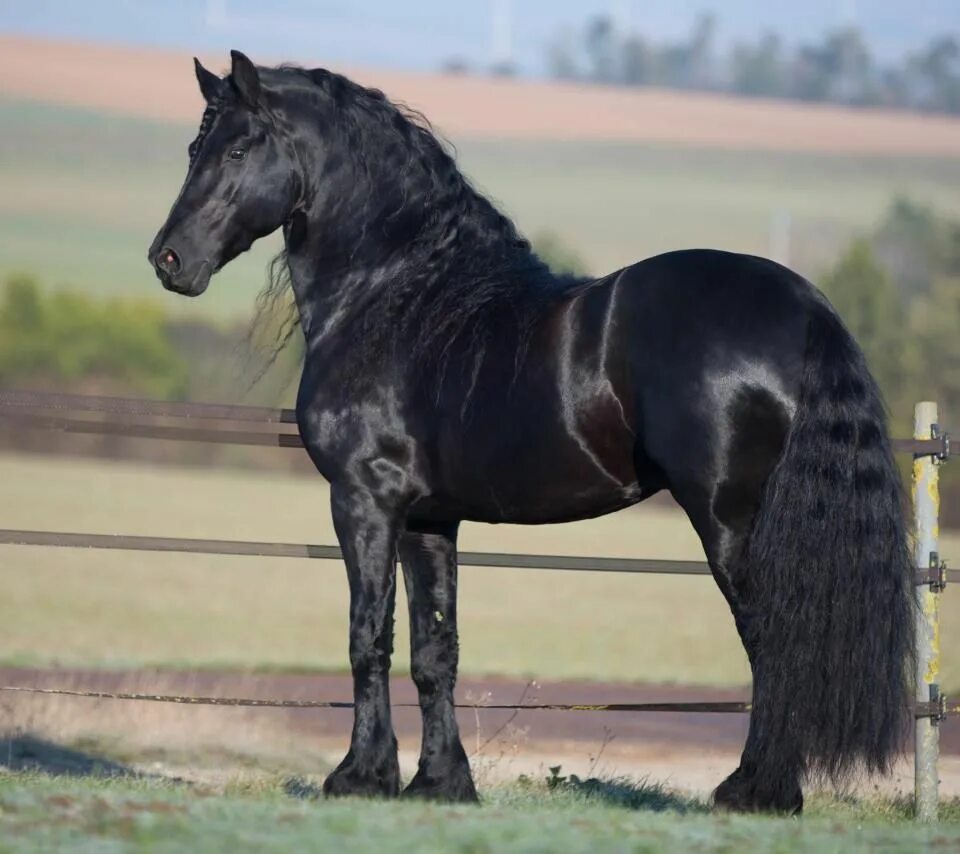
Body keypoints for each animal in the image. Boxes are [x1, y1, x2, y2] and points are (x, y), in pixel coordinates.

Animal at [150, 53, 916, 816]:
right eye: (193, 149)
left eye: (239, 149)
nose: (168, 260)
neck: (399, 294)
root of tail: (805, 307)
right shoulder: (429, 518)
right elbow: (435, 649)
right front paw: (441, 783)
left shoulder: (364, 500)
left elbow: (368, 636)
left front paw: (359, 778)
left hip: (730, 521)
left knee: (774, 642)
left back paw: (756, 791)